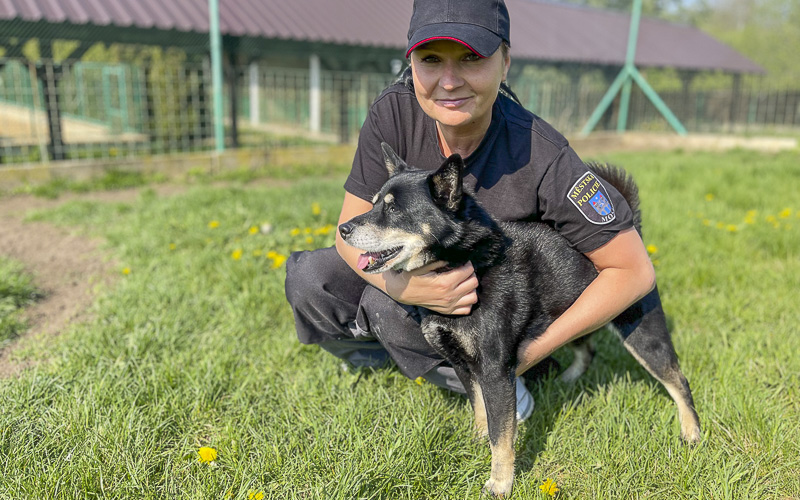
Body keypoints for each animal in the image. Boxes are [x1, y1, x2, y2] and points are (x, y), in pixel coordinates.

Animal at [338, 143, 700, 498]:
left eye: (394, 210)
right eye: (373, 203)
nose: (343, 228)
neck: (470, 261)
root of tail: (634, 226)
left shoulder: (496, 372)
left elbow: (502, 436)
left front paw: (500, 483)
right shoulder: (462, 364)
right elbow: (480, 410)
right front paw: (478, 442)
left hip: (642, 333)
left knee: (677, 380)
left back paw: (691, 431)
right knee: (587, 349)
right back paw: (569, 379)